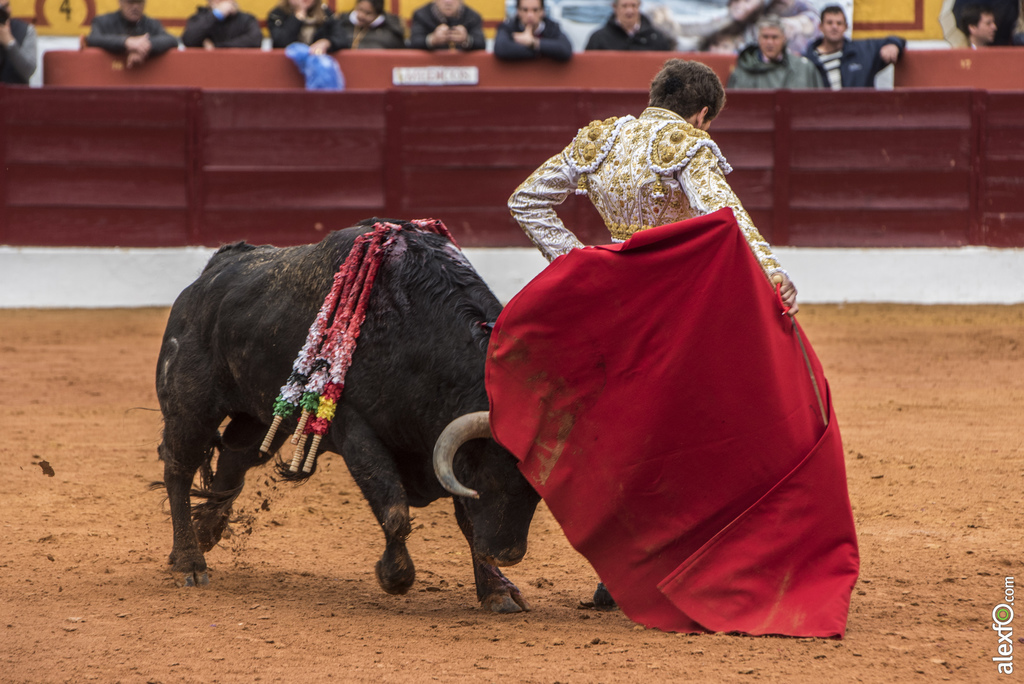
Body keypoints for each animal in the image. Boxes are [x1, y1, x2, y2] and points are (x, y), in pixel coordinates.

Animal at [153, 222, 544, 610]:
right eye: (492, 472)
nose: (507, 554)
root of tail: (209, 274)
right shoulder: (357, 430)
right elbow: (394, 508)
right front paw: (394, 578)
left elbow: (467, 520)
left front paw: (497, 591)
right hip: (190, 408)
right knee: (178, 470)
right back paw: (188, 562)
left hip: (261, 417)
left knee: (234, 461)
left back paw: (205, 533)